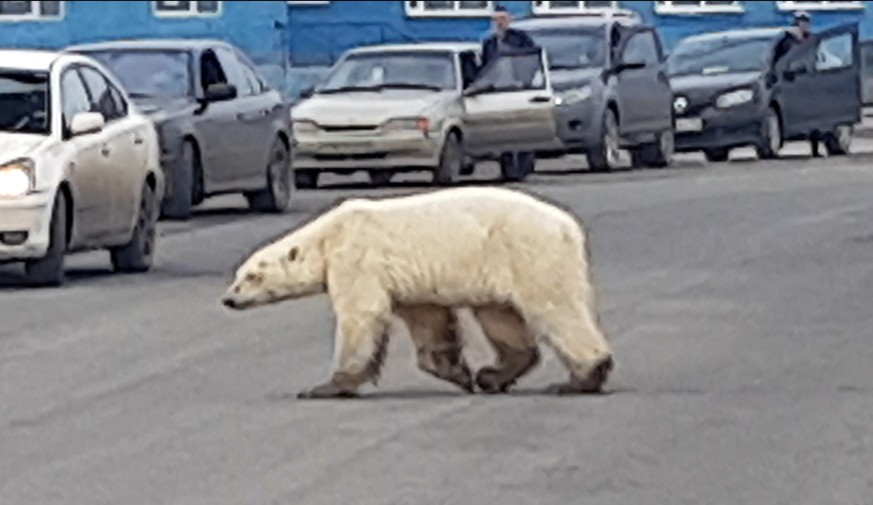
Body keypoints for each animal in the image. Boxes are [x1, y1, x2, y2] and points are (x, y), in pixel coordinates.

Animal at [220, 185, 612, 398]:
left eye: (252, 276)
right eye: (237, 275)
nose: (228, 299)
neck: (329, 235)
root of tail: (570, 227)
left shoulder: (357, 258)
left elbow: (361, 315)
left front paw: (326, 387)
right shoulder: (411, 280)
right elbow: (429, 321)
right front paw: (459, 373)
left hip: (529, 252)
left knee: (555, 307)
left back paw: (581, 378)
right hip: (499, 267)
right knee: (501, 316)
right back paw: (492, 375)